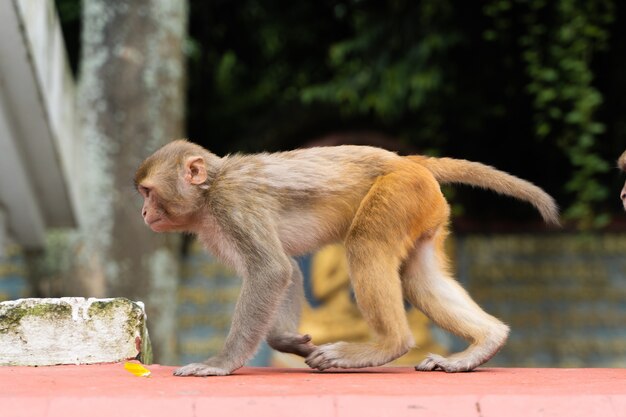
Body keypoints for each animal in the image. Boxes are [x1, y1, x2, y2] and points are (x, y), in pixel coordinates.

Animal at [135, 141, 556, 376]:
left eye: (148, 191)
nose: (143, 212)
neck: (210, 189)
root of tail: (408, 161)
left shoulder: (232, 204)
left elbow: (271, 271)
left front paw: (221, 363)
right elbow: (288, 270)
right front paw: (290, 341)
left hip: (398, 193)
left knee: (366, 245)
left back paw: (386, 345)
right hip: (423, 207)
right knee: (419, 277)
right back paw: (486, 341)